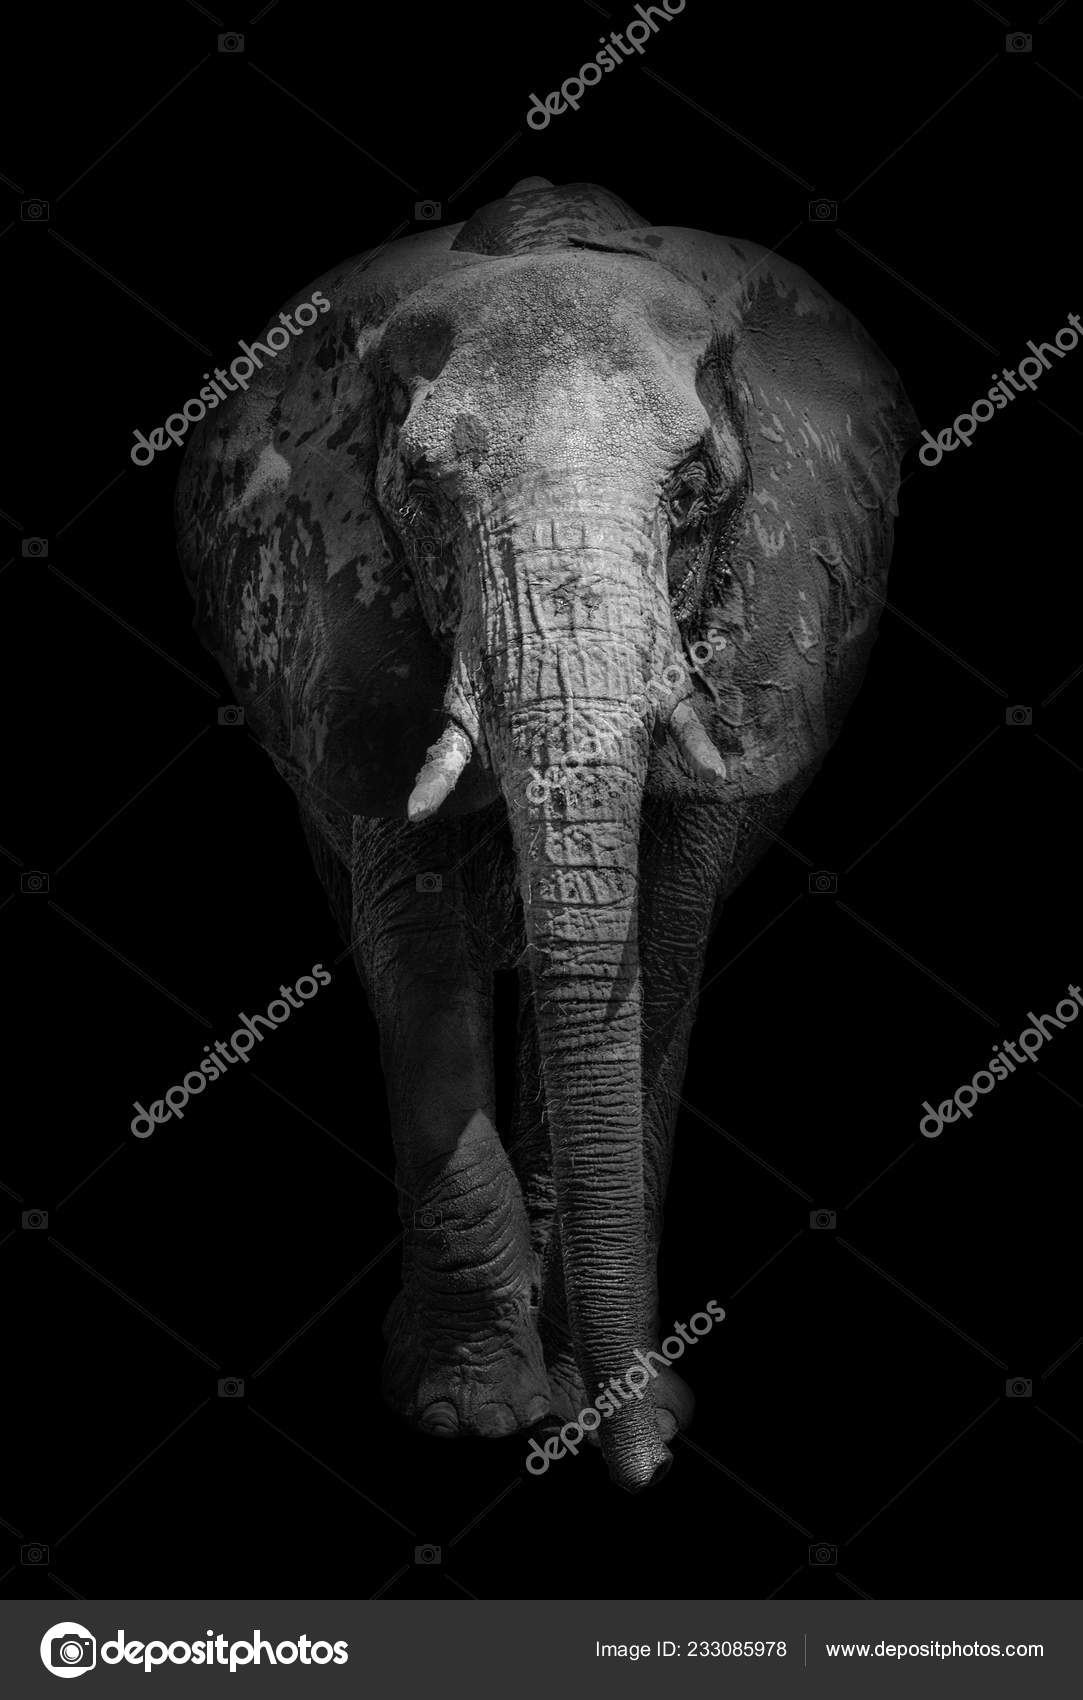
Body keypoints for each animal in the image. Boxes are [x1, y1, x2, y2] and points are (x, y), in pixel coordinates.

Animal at [175, 176, 917, 1491]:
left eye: (693, 490)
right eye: (422, 493)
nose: (644, 1469)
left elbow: (659, 945)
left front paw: (612, 1403)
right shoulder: (349, 646)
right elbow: (420, 956)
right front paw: (474, 1415)